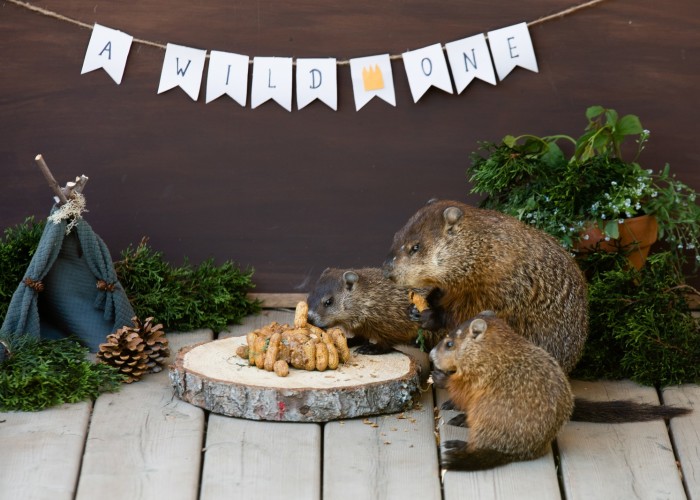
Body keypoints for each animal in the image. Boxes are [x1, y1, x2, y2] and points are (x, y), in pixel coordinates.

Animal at [306, 267, 445, 354]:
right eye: (310, 296)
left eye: (328, 302)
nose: (309, 319)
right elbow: (360, 335)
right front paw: (349, 340)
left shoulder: (391, 316)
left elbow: (391, 337)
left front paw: (371, 348)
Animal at [383, 199, 589, 374]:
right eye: (396, 236)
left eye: (415, 247)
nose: (386, 270)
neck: (483, 252)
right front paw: (417, 307)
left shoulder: (495, 283)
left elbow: (473, 311)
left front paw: (431, 315)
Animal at [430, 312, 692, 471]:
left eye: (450, 344)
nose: (431, 354)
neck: (493, 349)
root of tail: (519, 451)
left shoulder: (480, 373)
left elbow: (465, 388)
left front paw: (443, 378)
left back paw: (460, 445)